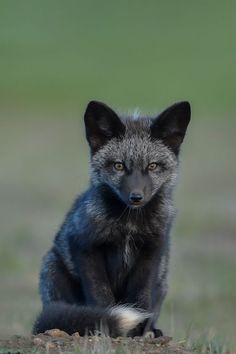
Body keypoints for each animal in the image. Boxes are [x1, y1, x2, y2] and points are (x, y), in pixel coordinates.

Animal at [32, 99, 192, 338]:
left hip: (163, 281)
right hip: (52, 269)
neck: (129, 226)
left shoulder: (152, 251)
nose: (136, 197)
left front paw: (138, 332)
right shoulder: (85, 247)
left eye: (152, 166)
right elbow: (101, 297)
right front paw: (106, 327)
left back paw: (152, 330)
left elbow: (140, 297)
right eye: (119, 165)